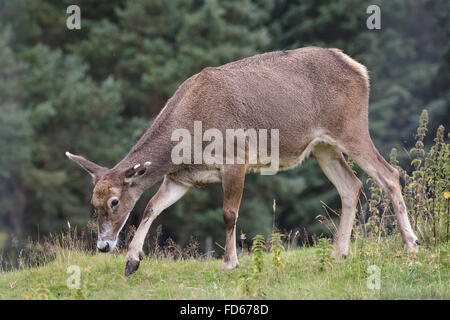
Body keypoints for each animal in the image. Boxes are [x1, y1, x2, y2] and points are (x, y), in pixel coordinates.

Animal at [65, 46, 420, 276]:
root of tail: (359, 68)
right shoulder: (182, 177)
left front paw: (229, 262)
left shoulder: (235, 158)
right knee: (352, 184)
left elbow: (229, 214)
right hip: (322, 146)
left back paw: (412, 244)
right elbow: (152, 207)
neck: (189, 137)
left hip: (351, 126)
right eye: (92, 203)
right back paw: (339, 251)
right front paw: (132, 261)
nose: (103, 246)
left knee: (390, 174)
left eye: (114, 201)